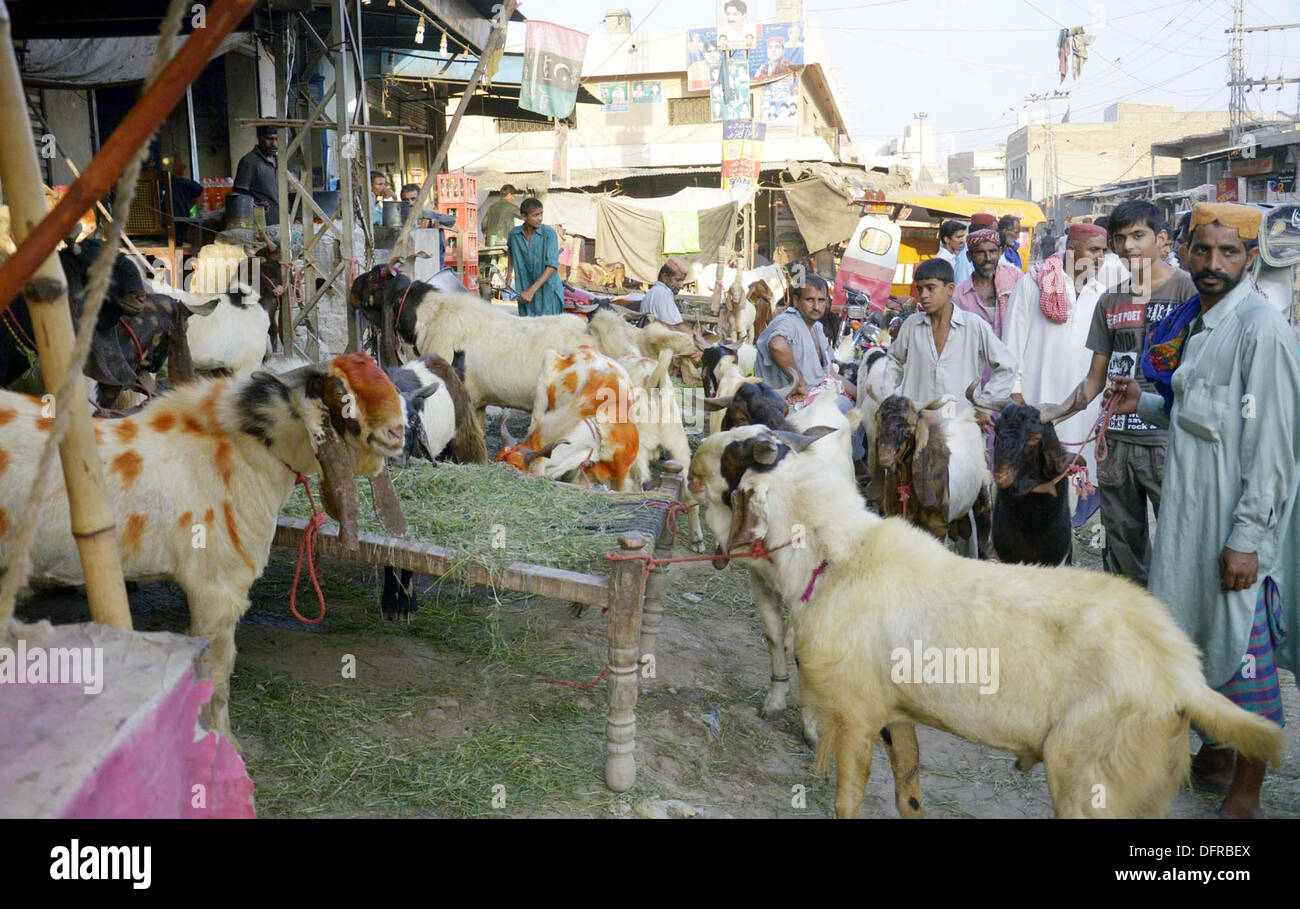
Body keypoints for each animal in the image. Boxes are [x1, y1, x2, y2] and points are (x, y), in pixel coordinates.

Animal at [0, 351, 405, 743]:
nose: (398, 432)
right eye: (340, 393)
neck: (238, 452)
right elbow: (216, 674)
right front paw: (220, 740)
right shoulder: (217, 589)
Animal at [707, 429, 1284, 821]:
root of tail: (1183, 674)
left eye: (737, 457)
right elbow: (908, 793)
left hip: (1091, 774)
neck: (837, 555)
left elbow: (848, 801)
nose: (695, 468)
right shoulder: (895, 712)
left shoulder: (854, 713)